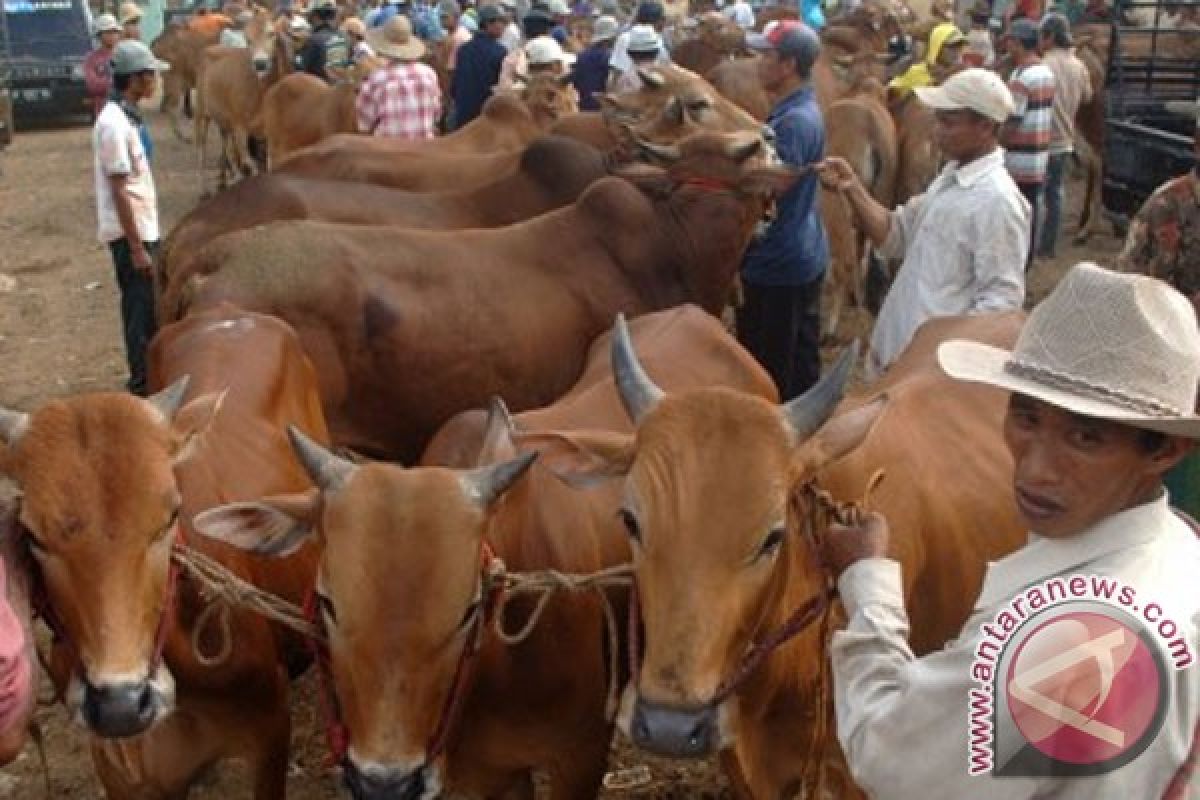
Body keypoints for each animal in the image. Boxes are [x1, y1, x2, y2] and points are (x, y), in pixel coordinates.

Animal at [0, 303, 326, 796]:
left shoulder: (270, 730)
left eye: (171, 515)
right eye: (33, 534)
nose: (120, 704)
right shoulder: (118, 772)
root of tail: (229, 311)